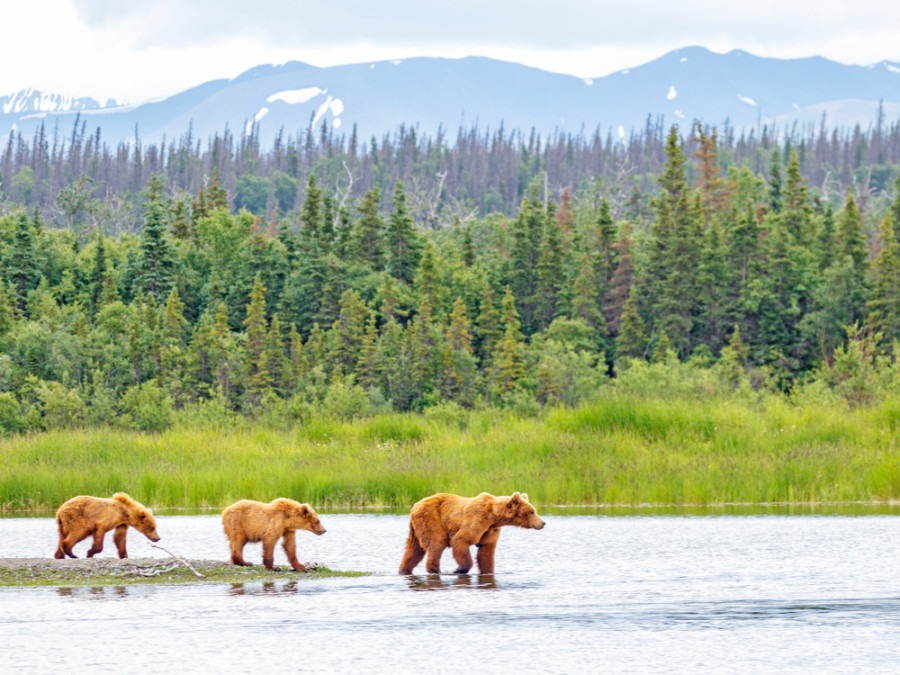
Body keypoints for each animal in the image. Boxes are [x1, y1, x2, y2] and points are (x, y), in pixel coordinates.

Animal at [402, 492, 544, 576]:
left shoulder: (490, 530)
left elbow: (486, 552)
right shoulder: (477, 519)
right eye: (532, 511)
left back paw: (404, 570)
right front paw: (459, 569)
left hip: (416, 528)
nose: (543, 523)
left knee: (413, 550)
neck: (493, 517)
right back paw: (435, 570)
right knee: (436, 543)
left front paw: (488, 571)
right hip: (431, 520)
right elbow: (460, 540)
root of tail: (414, 506)